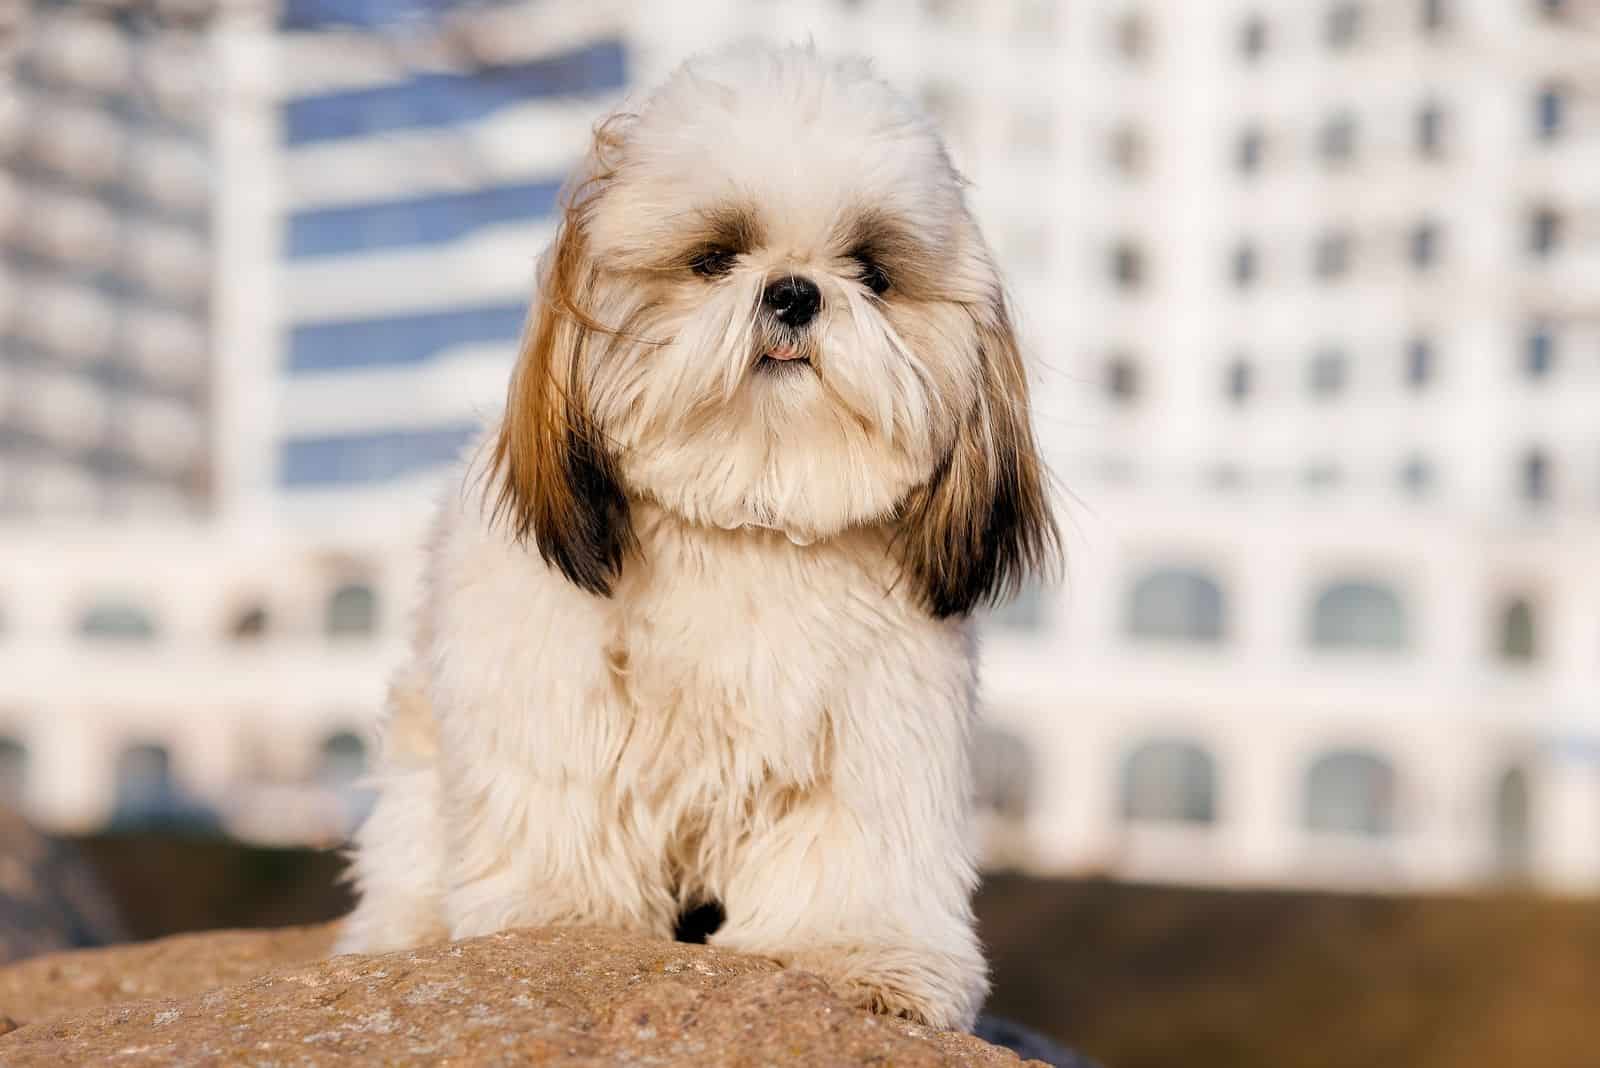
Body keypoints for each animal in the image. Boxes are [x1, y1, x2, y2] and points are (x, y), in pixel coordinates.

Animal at [334, 43, 1062, 1036]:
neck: (746, 515)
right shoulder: (548, 690)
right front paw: (563, 922)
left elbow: (856, 854)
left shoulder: (880, 723)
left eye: (872, 272)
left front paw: (861, 956)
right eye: (714, 258)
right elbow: (563, 811)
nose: (793, 293)